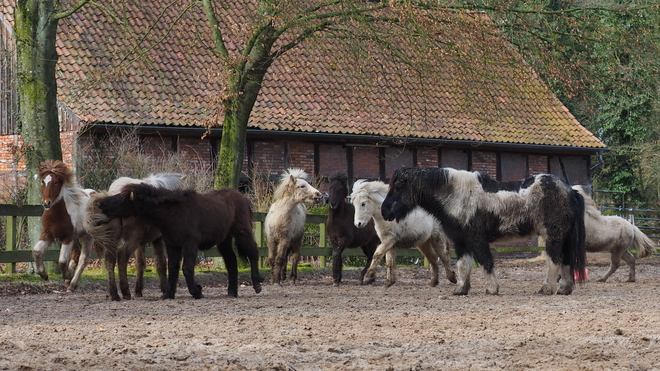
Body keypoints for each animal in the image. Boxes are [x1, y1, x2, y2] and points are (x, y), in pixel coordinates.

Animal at [31, 160, 98, 294]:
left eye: (56, 182)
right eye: (43, 181)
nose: (46, 203)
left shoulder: (67, 237)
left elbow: (62, 261)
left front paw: (66, 275)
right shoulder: (47, 234)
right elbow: (36, 251)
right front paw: (43, 274)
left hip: (87, 237)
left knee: (83, 259)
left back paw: (72, 284)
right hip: (77, 237)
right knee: (77, 254)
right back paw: (69, 281)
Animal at [382, 168, 588, 296]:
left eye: (398, 186)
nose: (385, 211)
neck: (455, 196)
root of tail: (570, 191)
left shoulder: (476, 239)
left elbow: (485, 262)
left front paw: (492, 289)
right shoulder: (460, 240)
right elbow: (464, 265)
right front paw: (461, 289)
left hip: (553, 236)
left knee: (554, 260)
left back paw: (547, 289)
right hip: (564, 237)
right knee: (566, 261)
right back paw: (564, 289)